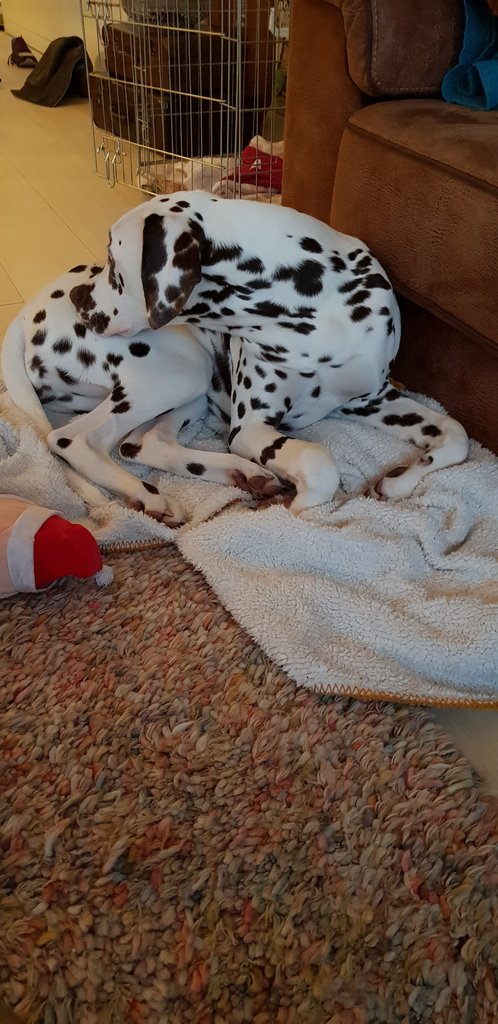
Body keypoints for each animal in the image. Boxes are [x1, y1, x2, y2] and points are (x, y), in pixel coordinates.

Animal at [1, 266, 283, 525]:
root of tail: (25, 314)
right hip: (181, 374)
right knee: (74, 440)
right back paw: (148, 495)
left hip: (190, 392)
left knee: (143, 443)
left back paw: (241, 472)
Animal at [66, 191, 469, 510]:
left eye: (113, 263)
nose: (76, 296)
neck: (319, 311)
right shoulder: (250, 428)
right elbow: (319, 462)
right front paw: (295, 507)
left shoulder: (372, 399)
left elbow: (457, 434)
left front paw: (398, 480)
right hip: (176, 376)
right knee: (75, 440)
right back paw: (153, 496)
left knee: (141, 443)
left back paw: (241, 474)